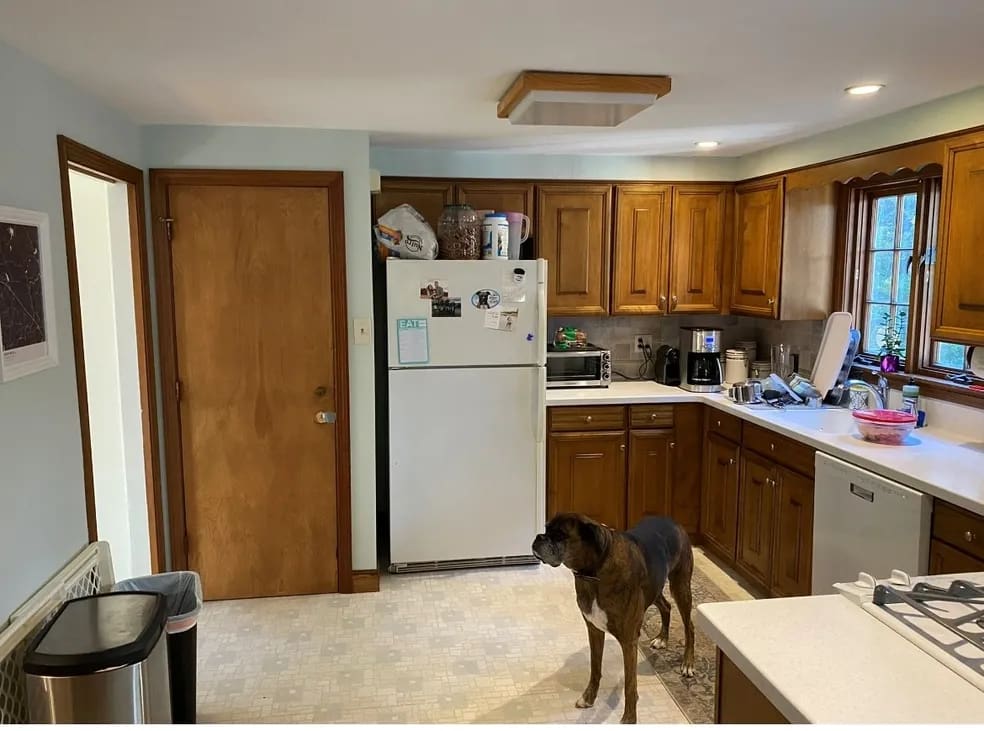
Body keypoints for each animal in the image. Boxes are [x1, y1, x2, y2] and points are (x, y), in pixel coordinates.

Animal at [536, 516, 696, 728]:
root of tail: (672, 521)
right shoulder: (594, 630)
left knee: (689, 626)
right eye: (546, 529)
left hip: (680, 585)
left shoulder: (629, 641)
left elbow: (630, 684)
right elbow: (595, 668)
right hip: (654, 589)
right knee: (666, 606)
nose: (539, 537)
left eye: (560, 535)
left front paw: (629, 718)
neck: (594, 572)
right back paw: (662, 638)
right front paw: (589, 698)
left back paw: (688, 663)